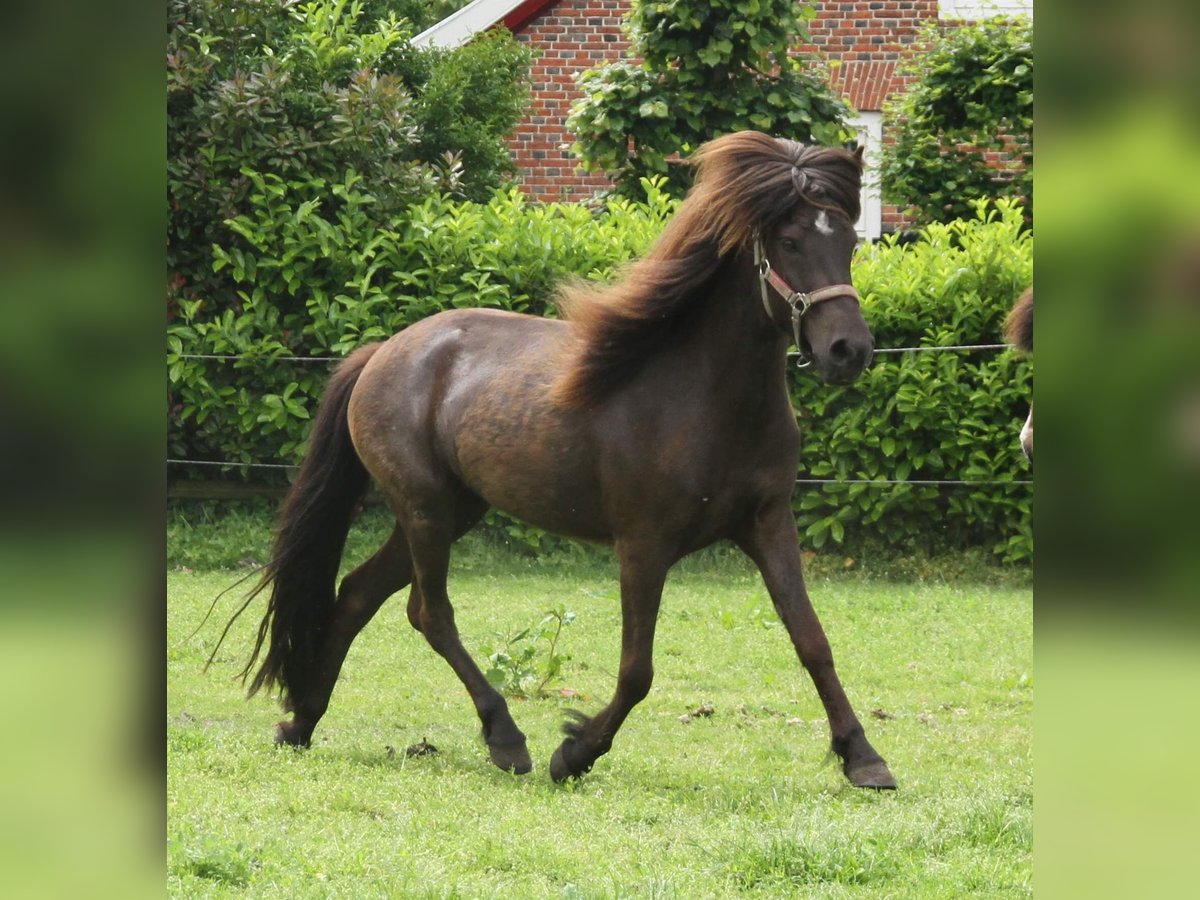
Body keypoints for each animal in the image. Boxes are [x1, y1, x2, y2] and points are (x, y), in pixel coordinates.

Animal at [220, 130, 897, 792]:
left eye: (849, 242)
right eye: (789, 241)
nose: (849, 351)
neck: (701, 397)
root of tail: (384, 352)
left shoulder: (768, 524)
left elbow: (812, 641)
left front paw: (863, 757)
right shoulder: (643, 543)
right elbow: (637, 670)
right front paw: (575, 753)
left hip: (452, 510)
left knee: (360, 593)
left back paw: (301, 722)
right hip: (425, 509)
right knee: (429, 613)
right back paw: (505, 738)